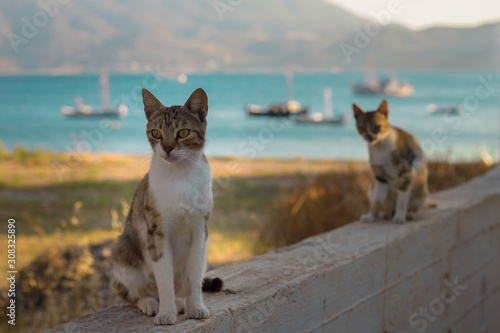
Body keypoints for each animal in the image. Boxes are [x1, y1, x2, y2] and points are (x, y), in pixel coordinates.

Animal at [113, 87, 225, 322]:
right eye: (156, 133)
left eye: (183, 133)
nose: (166, 148)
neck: (180, 176)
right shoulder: (157, 232)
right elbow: (164, 278)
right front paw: (165, 313)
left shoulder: (200, 230)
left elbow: (194, 276)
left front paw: (196, 307)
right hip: (123, 251)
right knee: (133, 295)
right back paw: (150, 302)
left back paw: (180, 302)